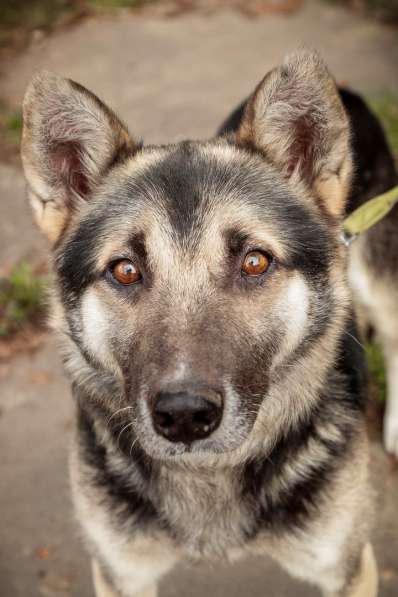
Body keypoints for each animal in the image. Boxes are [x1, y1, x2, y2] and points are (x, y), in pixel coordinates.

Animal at [21, 52, 394, 596]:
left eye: (255, 262)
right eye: (125, 270)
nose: (184, 415)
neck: (209, 474)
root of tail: (347, 92)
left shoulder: (349, 569)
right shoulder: (120, 574)